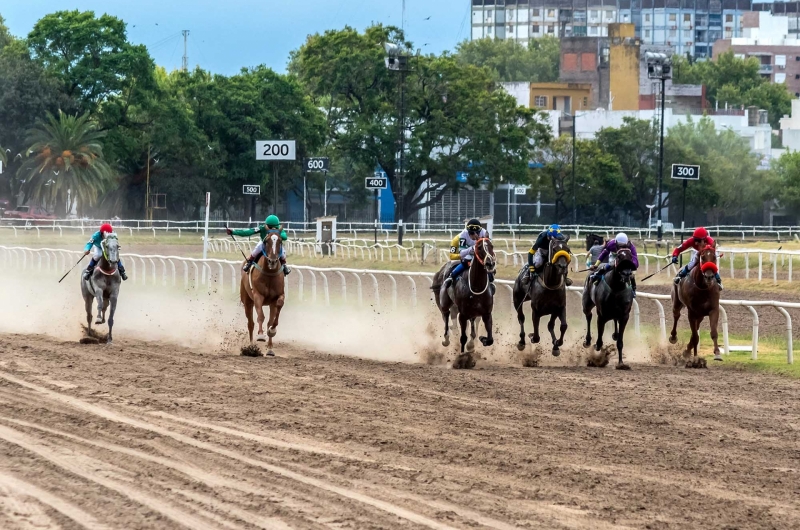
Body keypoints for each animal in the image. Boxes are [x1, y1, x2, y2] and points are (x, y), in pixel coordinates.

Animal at [432, 236, 494, 368]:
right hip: (444, 303)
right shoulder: (463, 314)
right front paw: (461, 357)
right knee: (446, 316)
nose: (490, 263)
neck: (476, 287)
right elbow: (463, 337)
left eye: (492, 246)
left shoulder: (486, 313)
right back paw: (446, 339)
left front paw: (480, 340)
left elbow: (489, 339)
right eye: (479, 247)